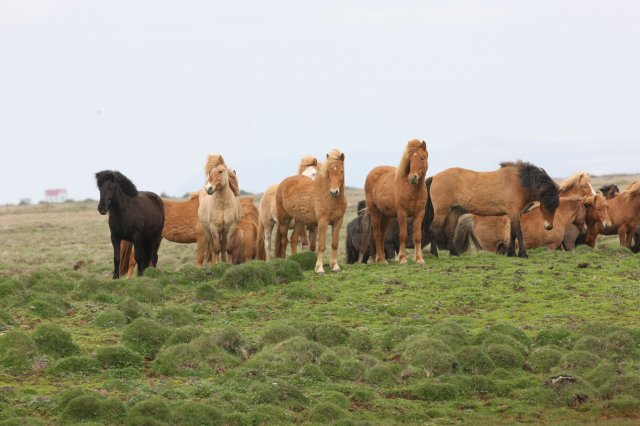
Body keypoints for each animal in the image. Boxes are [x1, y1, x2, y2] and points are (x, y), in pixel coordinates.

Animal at [424, 161, 560, 258]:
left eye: (556, 206)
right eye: (547, 205)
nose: (549, 227)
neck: (518, 182)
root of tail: (435, 177)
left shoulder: (514, 214)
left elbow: (512, 233)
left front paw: (511, 253)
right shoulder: (514, 213)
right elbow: (519, 233)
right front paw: (523, 254)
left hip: (454, 210)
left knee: (449, 230)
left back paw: (454, 253)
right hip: (441, 211)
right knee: (433, 229)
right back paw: (435, 254)